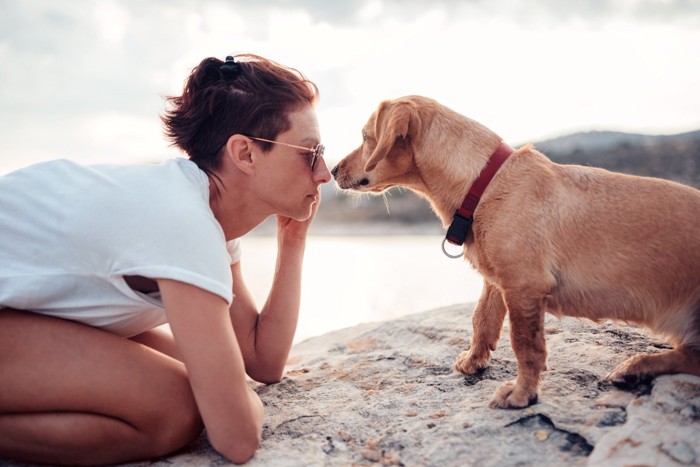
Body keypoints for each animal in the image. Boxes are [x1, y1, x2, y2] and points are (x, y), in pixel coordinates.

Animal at [332, 95, 700, 410]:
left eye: (365, 136)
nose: (332, 170)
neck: (483, 183)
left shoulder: (524, 288)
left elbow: (526, 346)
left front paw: (522, 393)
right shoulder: (497, 283)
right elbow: (482, 320)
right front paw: (474, 360)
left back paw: (638, 364)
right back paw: (637, 367)